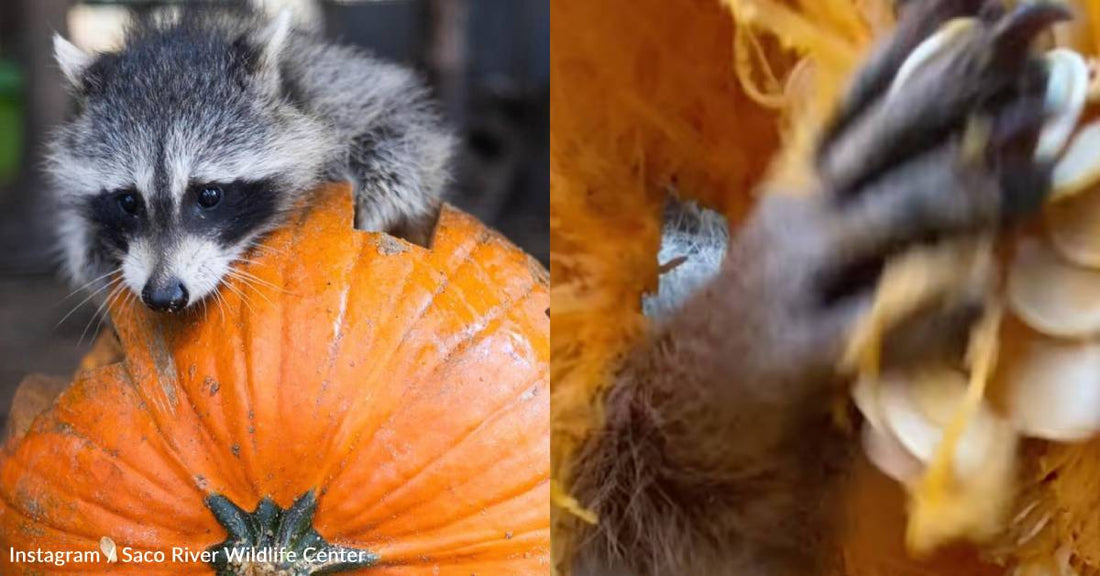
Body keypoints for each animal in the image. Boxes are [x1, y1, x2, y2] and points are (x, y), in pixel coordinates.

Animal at [49, 7, 453, 313]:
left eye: (208, 195)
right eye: (128, 201)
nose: (164, 296)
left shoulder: (335, 87)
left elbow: (403, 124)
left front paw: (375, 202)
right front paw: (95, 253)